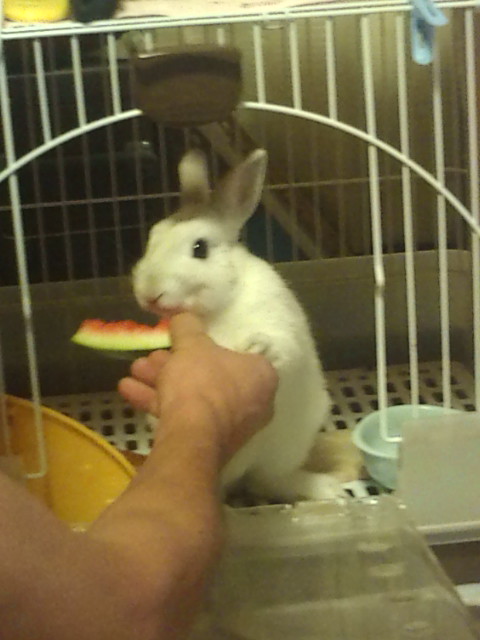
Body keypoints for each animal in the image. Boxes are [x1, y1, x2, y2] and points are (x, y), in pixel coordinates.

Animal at [132, 148, 344, 502]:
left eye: (200, 249)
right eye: (150, 238)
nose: (149, 293)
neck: (219, 306)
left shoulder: (280, 323)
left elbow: (281, 347)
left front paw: (258, 345)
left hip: (287, 445)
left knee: (269, 480)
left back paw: (325, 488)